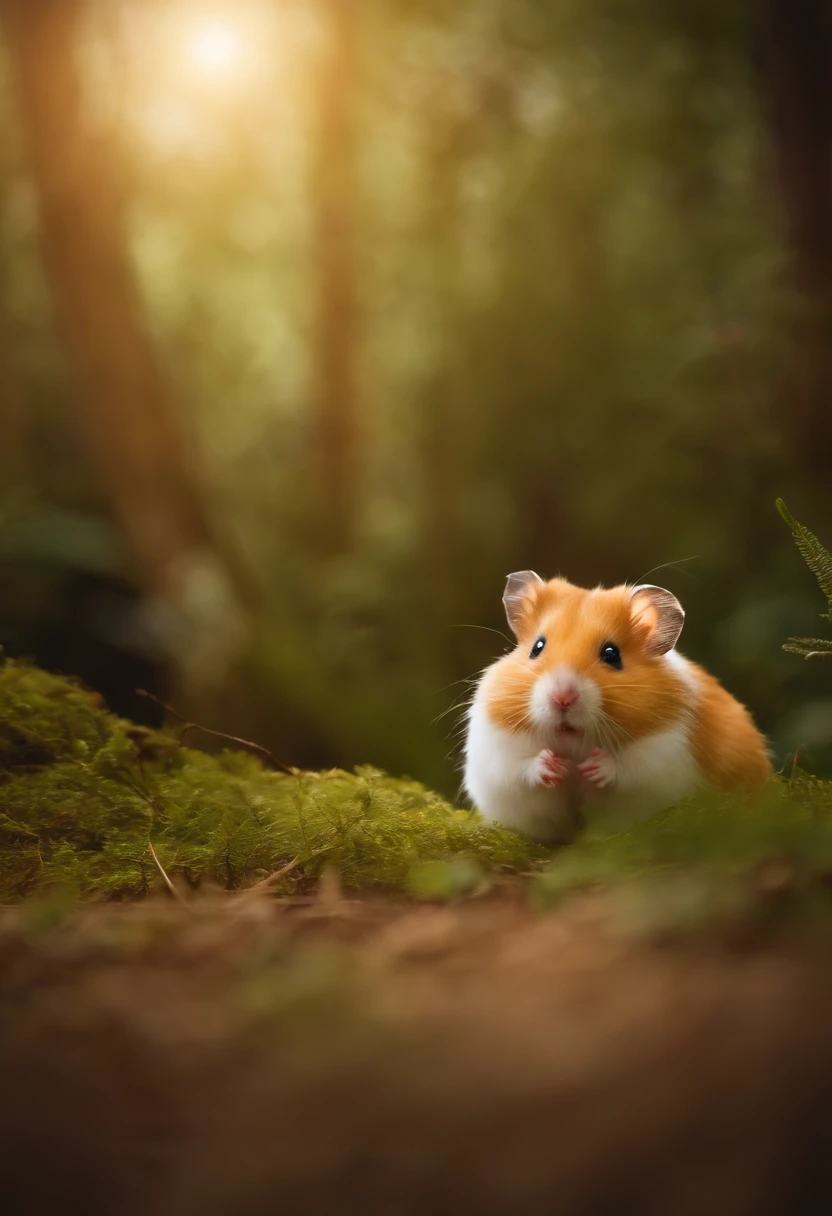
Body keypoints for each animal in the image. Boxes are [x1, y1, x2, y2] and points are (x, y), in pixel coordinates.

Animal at [464, 571, 768, 841]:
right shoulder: (493, 751)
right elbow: (518, 767)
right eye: (537, 648)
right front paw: (554, 766)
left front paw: (593, 768)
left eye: (612, 654)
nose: (562, 698)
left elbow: (630, 769)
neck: (574, 741)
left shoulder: (664, 755)